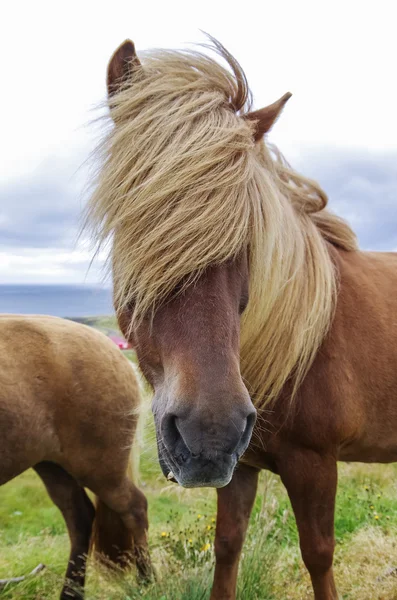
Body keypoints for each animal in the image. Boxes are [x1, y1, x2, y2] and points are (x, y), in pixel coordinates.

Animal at [0, 316, 152, 596]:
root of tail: (117, 355)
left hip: (101, 471)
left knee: (134, 509)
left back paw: (147, 582)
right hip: (52, 466)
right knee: (79, 519)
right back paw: (71, 593)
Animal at [84, 37, 396, 600]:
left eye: (248, 236)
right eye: (135, 221)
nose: (210, 431)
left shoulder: (315, 463)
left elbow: (319, 554)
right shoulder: (241, 467)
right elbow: (227, 548)